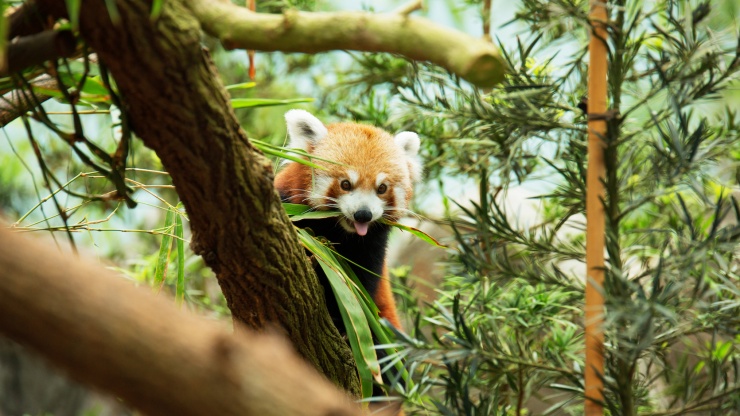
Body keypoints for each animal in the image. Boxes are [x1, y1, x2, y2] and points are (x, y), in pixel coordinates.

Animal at [274, 109, 422, 334]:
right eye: (345, 184)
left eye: (382, 188)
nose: (363, 214)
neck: (339, 232)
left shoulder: (371, 247)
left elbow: (361, 285)